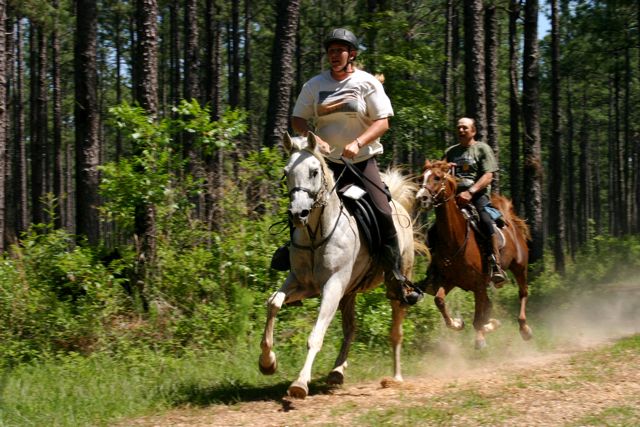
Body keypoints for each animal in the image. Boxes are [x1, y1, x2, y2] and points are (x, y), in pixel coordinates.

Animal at [258, 132, 418, 400]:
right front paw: (267, 362)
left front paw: (300, 383)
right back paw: (337, 371)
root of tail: (397, 205)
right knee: (350, 328)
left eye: (314, 171)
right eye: (286, 171)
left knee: (396, 331)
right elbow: (273, 303)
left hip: (395, 285)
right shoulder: (301, 283)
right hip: (349, 292)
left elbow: (316, 335)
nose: (298, 214)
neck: (316, 235)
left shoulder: (332, 286)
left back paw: (395, 378)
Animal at [416, 160, 528, 348]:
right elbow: (439, 300)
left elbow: (478, 317)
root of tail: (510, 221)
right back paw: (493, 325)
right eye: (421, 177)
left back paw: (524, 328)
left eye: (437, 177)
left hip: (519, 266)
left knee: (523, 293)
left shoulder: (478, 284)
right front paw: (457, 323)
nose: (421, 198)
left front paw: (480, 339)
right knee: (489, 305)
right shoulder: (448, 280)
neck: (455, 239)